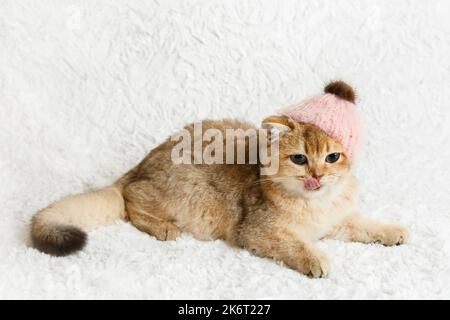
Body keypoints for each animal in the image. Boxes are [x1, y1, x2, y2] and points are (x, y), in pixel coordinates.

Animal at [29, 82, 408, 278]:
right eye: (299, 158)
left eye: (332, 157)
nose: (316, 176)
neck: (317, 205)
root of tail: (139, 166)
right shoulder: (257, 231)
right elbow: (294, 244)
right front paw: (315, 259)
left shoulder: (338, 220)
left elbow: (365, 225)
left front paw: (393, 231)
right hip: (188, 197)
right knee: (129, 199)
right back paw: (163, 227)